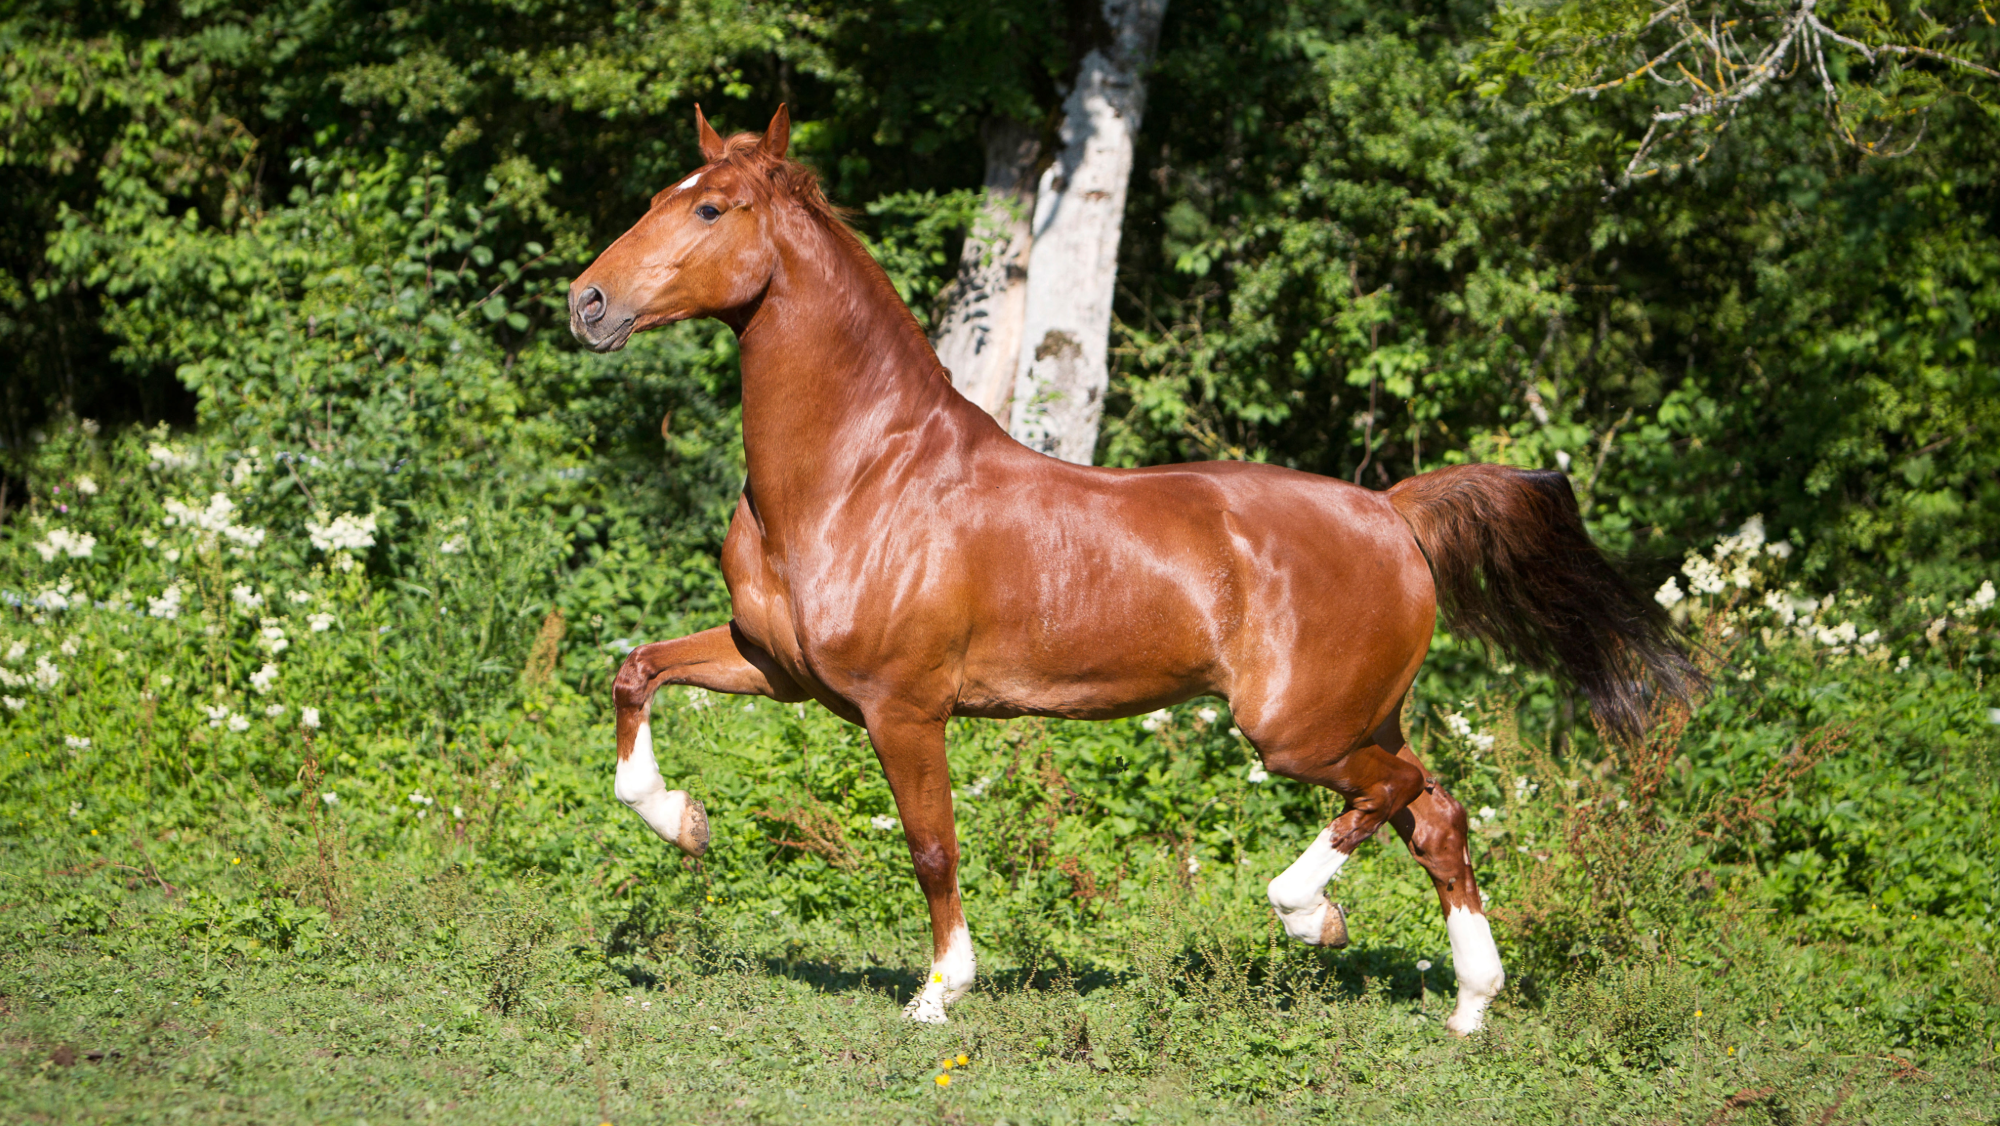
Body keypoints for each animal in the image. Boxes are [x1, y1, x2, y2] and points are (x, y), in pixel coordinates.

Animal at [568, 105, 1698, 1033]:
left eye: (709, 207)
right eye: (658, 197)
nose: (587, 303)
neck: (857, 477)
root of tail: (1390, 510)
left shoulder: (904, 707)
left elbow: (932, 845)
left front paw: (939, 992)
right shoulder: (776, 666)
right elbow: (635, 670)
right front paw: (683, 823)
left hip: (1299, 731)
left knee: (1402, 794)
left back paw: (1309, 915)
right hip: (1359, 718)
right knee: (1438, 820)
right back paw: (1467, 1005)